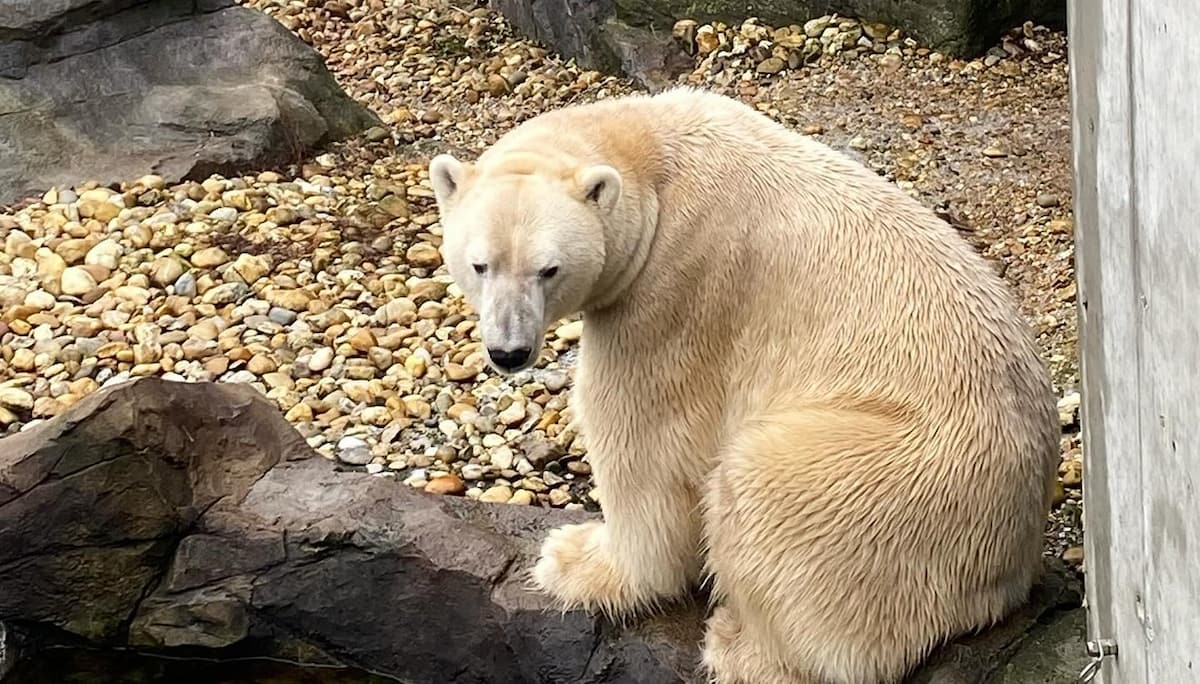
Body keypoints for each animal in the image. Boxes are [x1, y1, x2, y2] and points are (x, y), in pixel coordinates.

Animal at [429, 86, 1060, 681]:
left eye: (549, 269)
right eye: (481, 264)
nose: (509, 351)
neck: (651, 157)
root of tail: (1013, 562)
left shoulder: (679, 285)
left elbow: (642, 435)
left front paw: (576, 561)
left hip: (903, 479)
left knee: (764, 489)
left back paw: (740, 647)